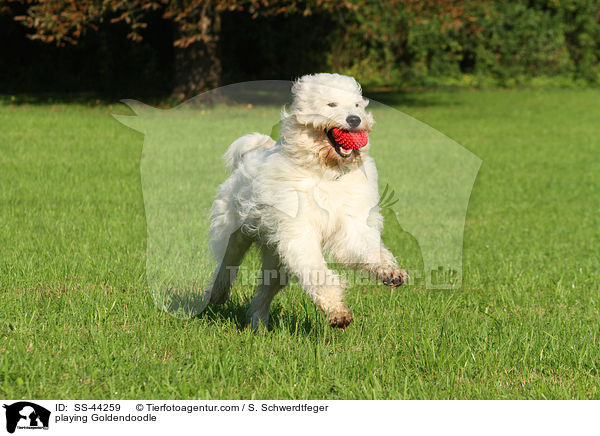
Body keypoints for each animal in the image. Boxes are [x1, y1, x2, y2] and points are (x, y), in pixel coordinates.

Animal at [207, 73, 408, 328]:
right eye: (331, 104)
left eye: (357, 105)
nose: (355, 120)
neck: (325, 172)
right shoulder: (300, 231)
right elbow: (316, 270)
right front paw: (338, 312)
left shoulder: (351, 225)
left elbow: (365, 248)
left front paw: (389, 271)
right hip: (236, 233)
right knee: (227, 264)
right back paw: (217, 295)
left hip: (277, 257)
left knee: (264, 293)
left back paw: (258, 324)